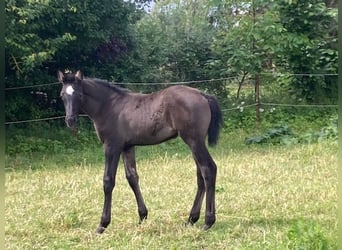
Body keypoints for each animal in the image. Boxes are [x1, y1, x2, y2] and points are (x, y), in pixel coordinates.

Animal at [57, 70, 223, 232]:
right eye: (62, 95)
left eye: (79, 95)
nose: (70, 120)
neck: (109, 107)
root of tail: (203, 95)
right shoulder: (127, 147)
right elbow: (132, 178)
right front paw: (142, 216)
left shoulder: (112, 146)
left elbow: (108, 181)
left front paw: (102, 224)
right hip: (195, 142)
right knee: (200, 174)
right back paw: (191, 219)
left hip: (194, 140)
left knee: (208, 169)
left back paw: (208, 222)